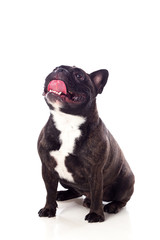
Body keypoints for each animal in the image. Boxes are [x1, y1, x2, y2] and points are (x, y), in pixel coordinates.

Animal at [37, 64, 135, 222]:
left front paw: (96, 214)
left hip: (126, 179)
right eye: (54, 68)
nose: (59, 70)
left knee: (121, 200)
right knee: (76, 191)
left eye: (79, 76)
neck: (67, 122)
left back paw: (112, 206)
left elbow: (96, 193)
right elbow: (49, 191)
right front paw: (48, 209)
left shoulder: (95, 170)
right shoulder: (47, 167)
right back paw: (64, 194)